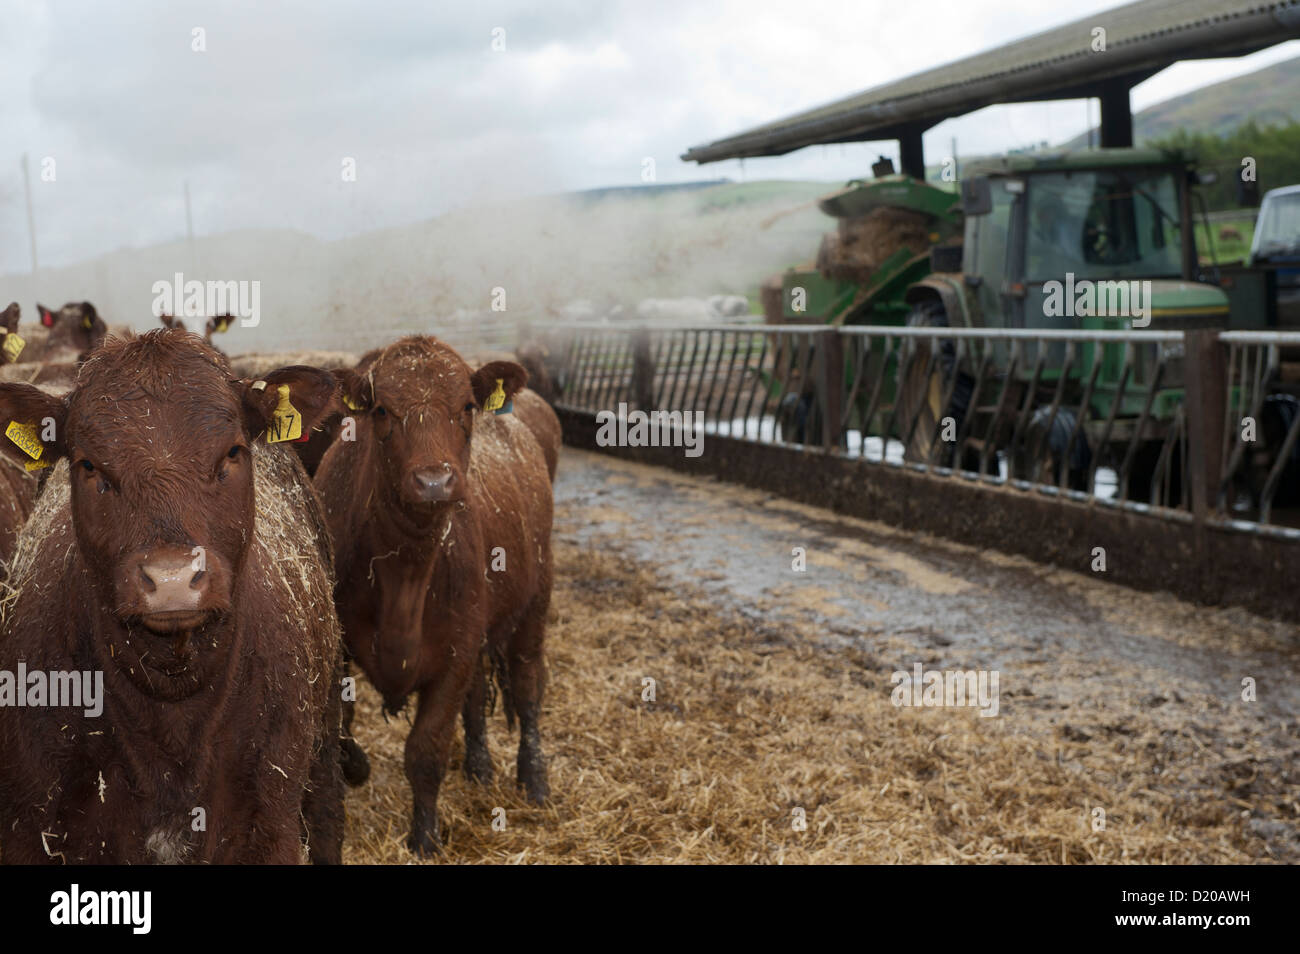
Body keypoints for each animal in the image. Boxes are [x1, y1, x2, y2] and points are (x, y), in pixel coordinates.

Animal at [319, 337, 559, 857]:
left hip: (534, 606)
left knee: (528, 688)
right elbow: (343, 727)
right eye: (382, 410)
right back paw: (479, 766)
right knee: (479, 697)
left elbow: (426, 750)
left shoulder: (454, 654)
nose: (434, 481)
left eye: (465, 406)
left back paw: (534, 780)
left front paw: (425, 837)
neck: (406, 571)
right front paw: (357, 767)